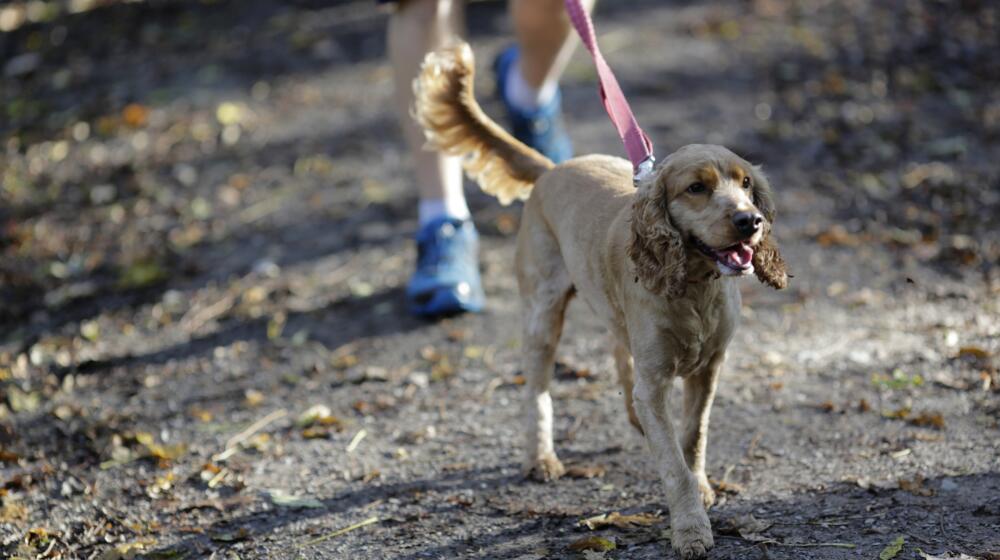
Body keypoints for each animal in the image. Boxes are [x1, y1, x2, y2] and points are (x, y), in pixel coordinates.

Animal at [414, 41, 788, 556]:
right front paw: (690, 529)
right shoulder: (656, 380)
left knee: (617, 354)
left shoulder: (707, 370)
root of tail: (551, 169)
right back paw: (542, 458)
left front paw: (701, 485)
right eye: (697, 188)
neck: (694, 288)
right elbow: (673, 463)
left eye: (747, 184)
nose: (750, 220)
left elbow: (692, 437)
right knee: (537, 390)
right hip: (542, 314)